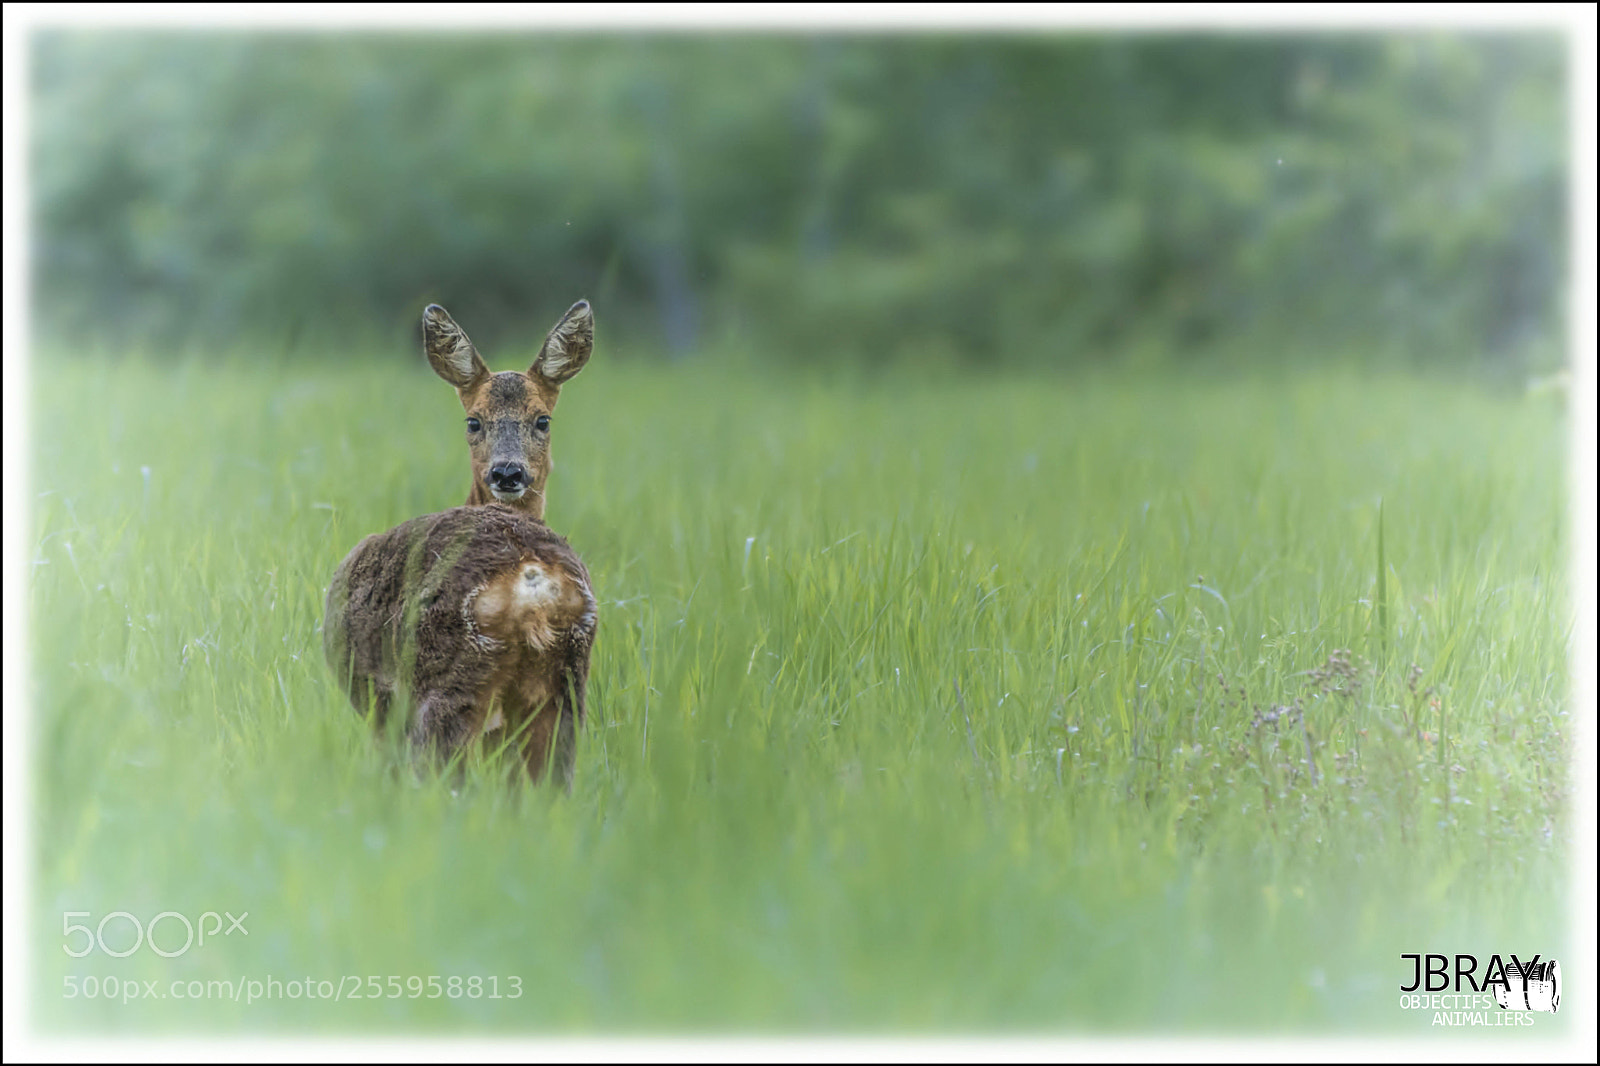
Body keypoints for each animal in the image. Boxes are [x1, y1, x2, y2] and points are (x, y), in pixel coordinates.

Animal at [322, 301, 598, 787]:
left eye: (542, 419)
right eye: (474, 420)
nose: (507, 473)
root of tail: (530, 578)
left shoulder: (375, 694)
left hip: (445, 683)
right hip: (566, 688)